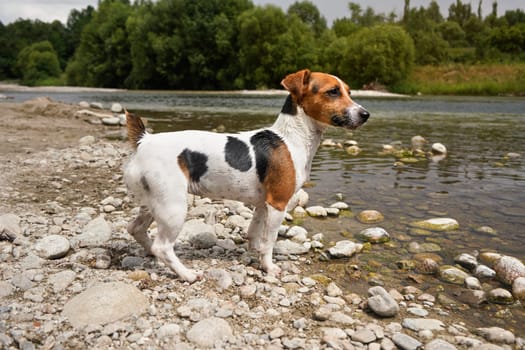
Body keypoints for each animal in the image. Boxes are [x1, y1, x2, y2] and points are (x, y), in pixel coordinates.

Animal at [123, 69, 368, 284]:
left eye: (349, 91)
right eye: (333, 91)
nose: (366, 114)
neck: (291, 138)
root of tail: (144, 140)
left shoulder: (262, 205)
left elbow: (254, 234)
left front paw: (254, 254)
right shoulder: (277, 204)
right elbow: (269, 241)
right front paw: (269, 267)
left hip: (153, 203)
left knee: (136, 230)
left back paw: (152, 255)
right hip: (173, 207)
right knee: (162, 246)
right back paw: (187, 274)